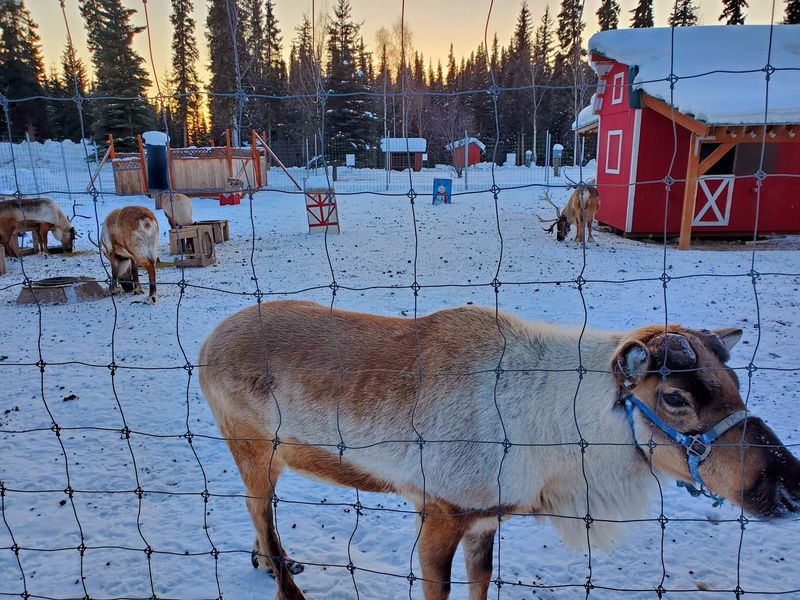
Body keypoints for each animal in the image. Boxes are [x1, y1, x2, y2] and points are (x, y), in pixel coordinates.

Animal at [199, 300, 800, 600]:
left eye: (734, 382)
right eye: (675, 396)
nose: (789, 487)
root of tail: (206, 342)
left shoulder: (486, 518)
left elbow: (481, 583)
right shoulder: (440, 510)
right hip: (252, 446)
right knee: (257, 507)